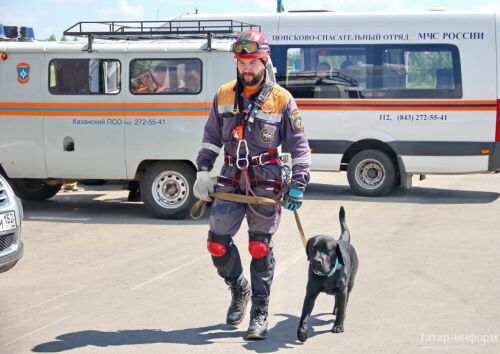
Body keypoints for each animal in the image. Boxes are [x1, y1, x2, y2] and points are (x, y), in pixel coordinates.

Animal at [298, 206, 358, 342]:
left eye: (327, 250)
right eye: (313, 248)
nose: (316, 261)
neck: (328, 275)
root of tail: (342, 240)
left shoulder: (342, 289)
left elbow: (342, 309)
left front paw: (338, 326)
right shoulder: (310, 293)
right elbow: (304, 314)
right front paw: (302, 331)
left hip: (350, 284)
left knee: (344, 301)